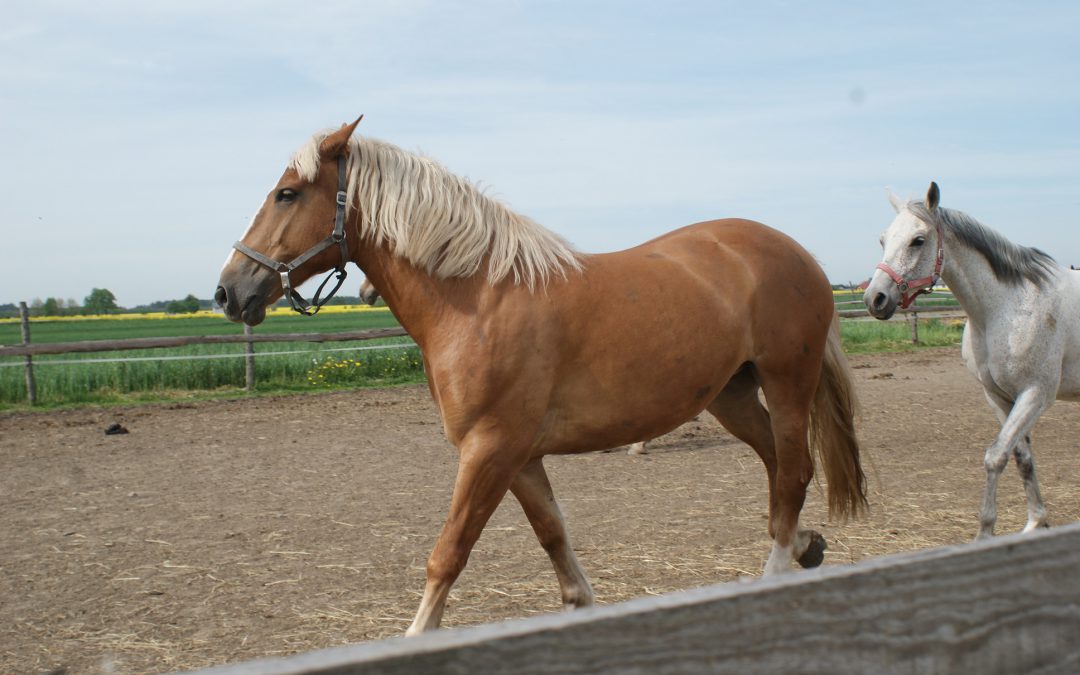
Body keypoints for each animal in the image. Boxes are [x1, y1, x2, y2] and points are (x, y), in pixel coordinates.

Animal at [214, 119, 864, 630]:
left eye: (287, 193)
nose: (229, 291)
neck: (477, 298)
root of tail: (799, 254)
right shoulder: (520, 456)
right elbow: (554, 537)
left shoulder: (489, 450)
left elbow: (448, 553)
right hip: (732, 396)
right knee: (781, 470)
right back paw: (805, 545)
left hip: (787, 384)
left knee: (793, 474)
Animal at [864, 181, 1080, 540]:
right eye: (883, 239)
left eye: (918, 240)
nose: (875, 299)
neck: (1008, 306)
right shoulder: (998, 396)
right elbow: (1022, 458)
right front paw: (1036, 521)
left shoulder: (1036, 394)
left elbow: (995, 456)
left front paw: (984, 533)